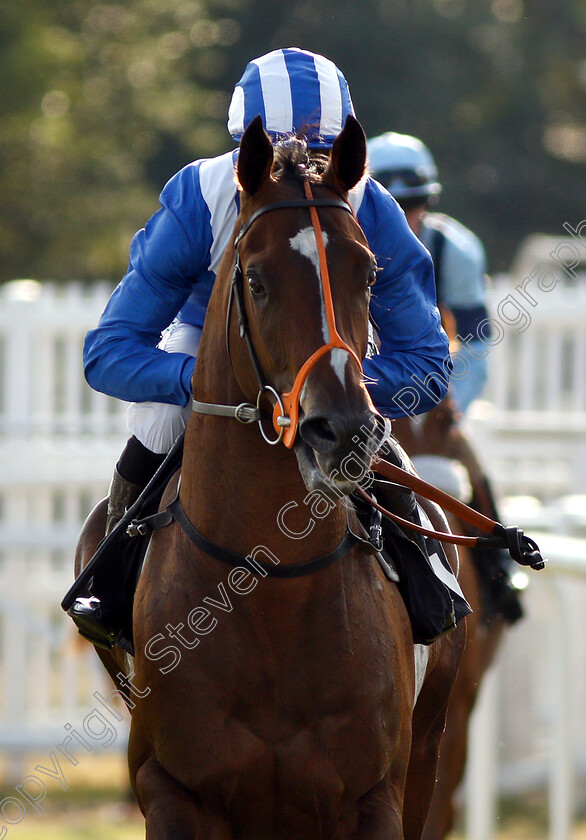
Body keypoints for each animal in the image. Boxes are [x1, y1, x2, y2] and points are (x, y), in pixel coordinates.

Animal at [75, 113, 464, 840]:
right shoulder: (172, 792)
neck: (268, 585)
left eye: (369, 274)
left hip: (428, 754)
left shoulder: (377, 796)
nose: (343, 429)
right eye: (255, 280)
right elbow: (109, 345)